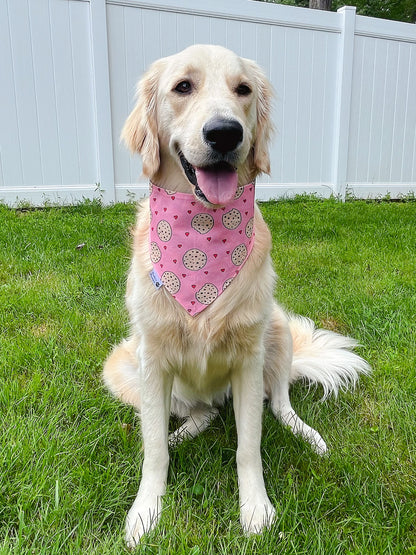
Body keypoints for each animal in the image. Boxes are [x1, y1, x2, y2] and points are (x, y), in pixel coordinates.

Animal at [105, 43, 370, 548]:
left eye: (243, 89)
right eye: (182, 87)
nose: (226, 133)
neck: (202, 230)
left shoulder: (248, 360)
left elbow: (250, 445)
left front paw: (256, 510)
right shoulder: (152, 359)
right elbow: (153, 449)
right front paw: (146, 512)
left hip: (278, 330)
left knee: (280, 406)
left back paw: (309, 436)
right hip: (123, 366)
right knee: (201, 415)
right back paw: (180, 435)